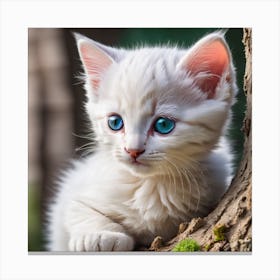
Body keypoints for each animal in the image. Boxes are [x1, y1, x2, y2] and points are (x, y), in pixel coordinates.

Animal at [46, 31, 236, 252]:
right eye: (115, 122)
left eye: (163, 125)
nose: (133, 150)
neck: (151, 185)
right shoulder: (72, 192)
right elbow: (78, 210)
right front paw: (99, 235)